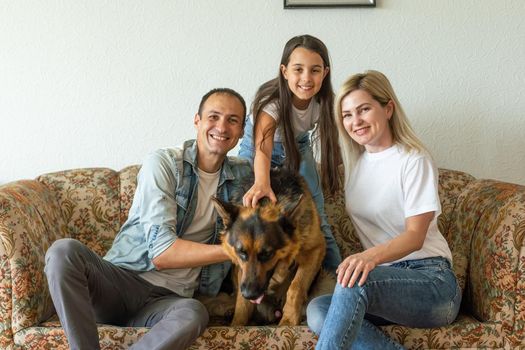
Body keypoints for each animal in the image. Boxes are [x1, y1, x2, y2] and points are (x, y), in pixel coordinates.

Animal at [211, 167, 326, 326]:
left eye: (266, 254)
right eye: (241, 252)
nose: (249, 294)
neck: (265, 203)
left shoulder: (314, 250)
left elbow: (296, 287)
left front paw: (288, 321)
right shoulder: (241, 272)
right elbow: (242, 305)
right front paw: (237, 325)